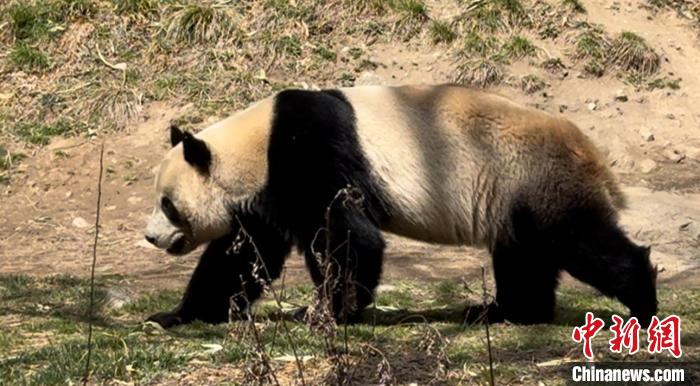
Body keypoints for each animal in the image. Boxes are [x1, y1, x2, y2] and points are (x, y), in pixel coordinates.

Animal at [142, 85, 656, 328]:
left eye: (167, 205)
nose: (150, 236)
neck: (254, 143)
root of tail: (591, 153)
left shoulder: (309, 151)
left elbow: (349, 236)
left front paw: (327, 312)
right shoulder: (265, 192)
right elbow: (243, 257)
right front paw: (176, 315)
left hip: (535, 176)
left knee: (581, 241)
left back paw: (643, 301)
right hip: (511, 194)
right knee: (523, 256)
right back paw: (501, 312)